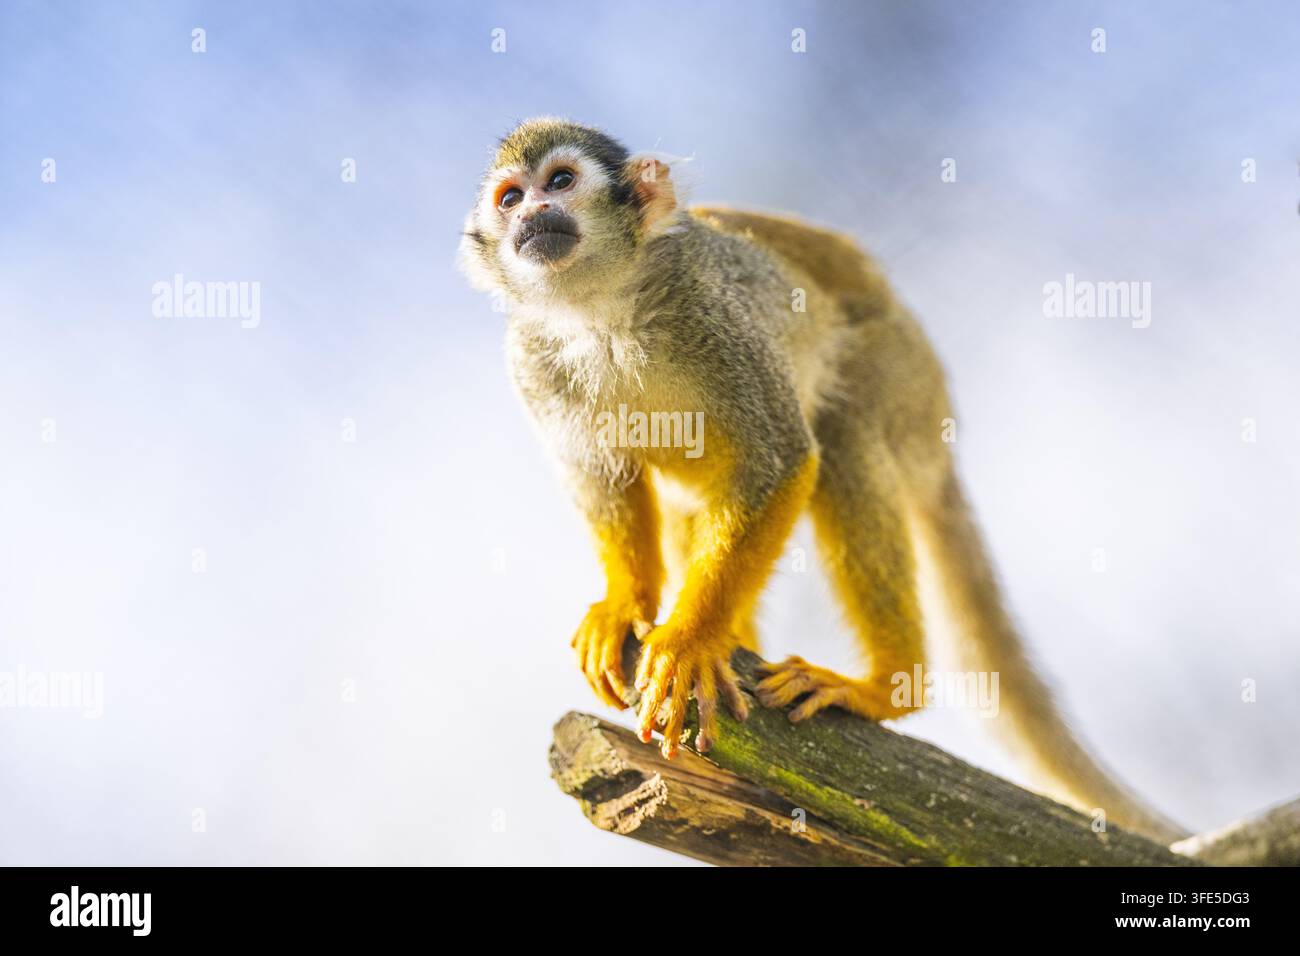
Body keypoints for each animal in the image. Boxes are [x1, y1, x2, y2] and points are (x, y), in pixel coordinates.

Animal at [458, 117, 1185, 843]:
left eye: (560, 181)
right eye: (509, 197)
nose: (532, 214)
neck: (600, 310)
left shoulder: (711, 314)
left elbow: (781, 460)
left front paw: (690, 642)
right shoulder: (533, 362)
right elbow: (601, 478)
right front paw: (626, 604)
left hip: (897, 369)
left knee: (843, 440)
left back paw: (886, 686)